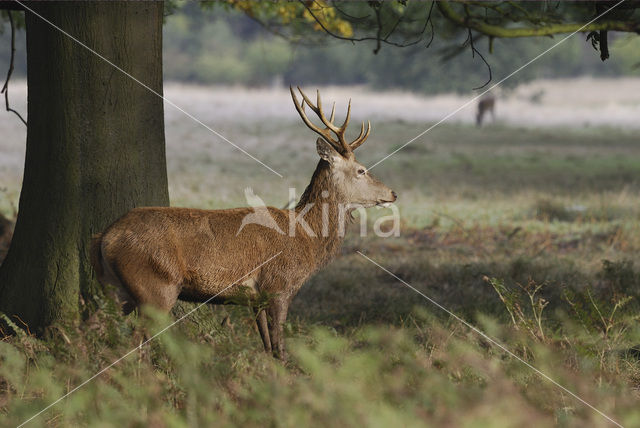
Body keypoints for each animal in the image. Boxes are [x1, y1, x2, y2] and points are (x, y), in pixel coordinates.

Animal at [91, 86, 396, 358]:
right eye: (361, 170)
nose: (392, 193)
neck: (306, 239)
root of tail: (105, 237)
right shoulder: (278, 287)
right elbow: (280, 348)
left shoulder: (255, 299)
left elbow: (267, 348)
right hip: (155, 286)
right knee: (134, 342)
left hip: (113, 287)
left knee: (95, 326)